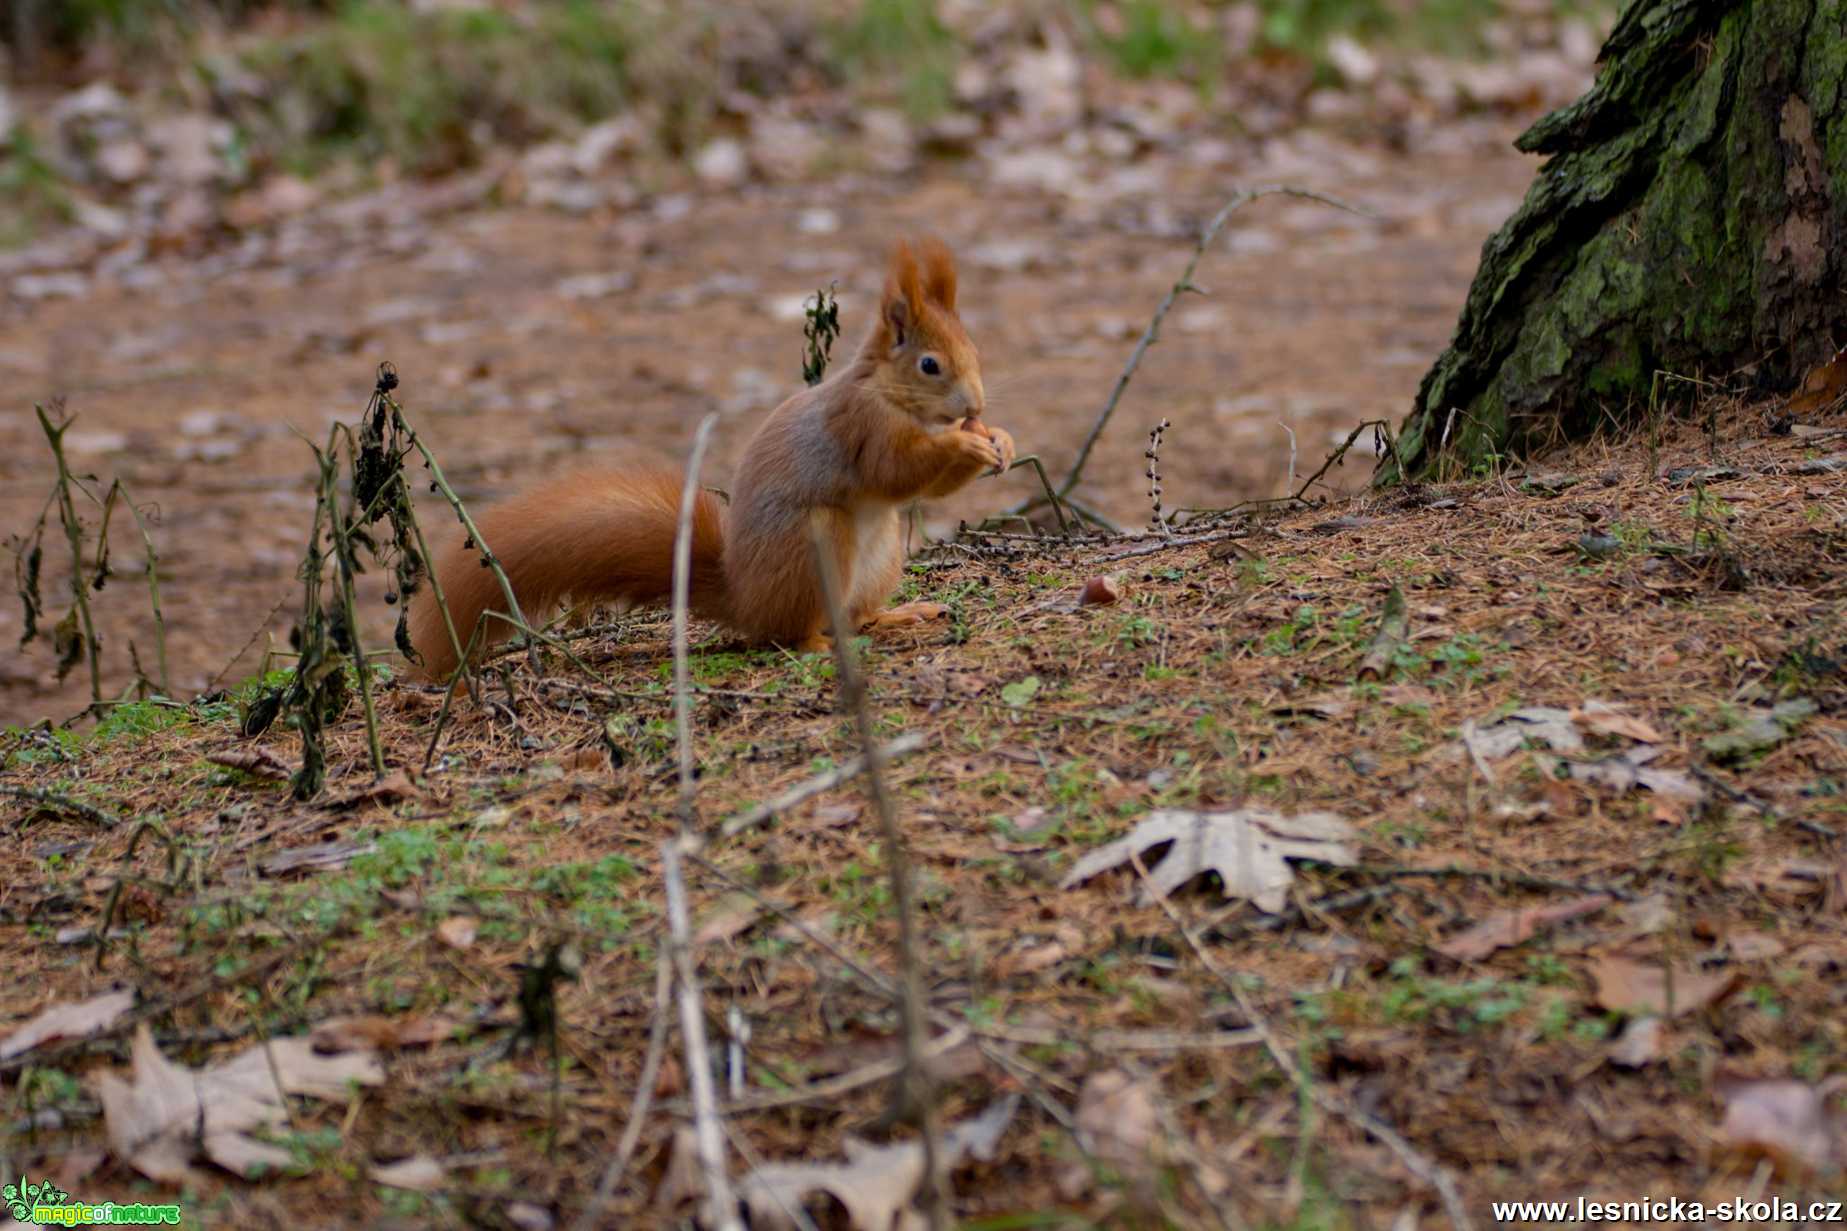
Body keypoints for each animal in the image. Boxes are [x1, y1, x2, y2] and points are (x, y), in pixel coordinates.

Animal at [410, 236, 1019, 680]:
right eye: (930, 365)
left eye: (974, 351)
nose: (976, 406)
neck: (889, 393)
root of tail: (745, 600)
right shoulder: (859, 426)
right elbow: (893, 471)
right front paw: (964, 442)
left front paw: (1001, 440)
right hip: (817, 542)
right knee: (790, 633)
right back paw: (817, 642)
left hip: (883, 553)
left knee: (857, 616)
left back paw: (900, 614)